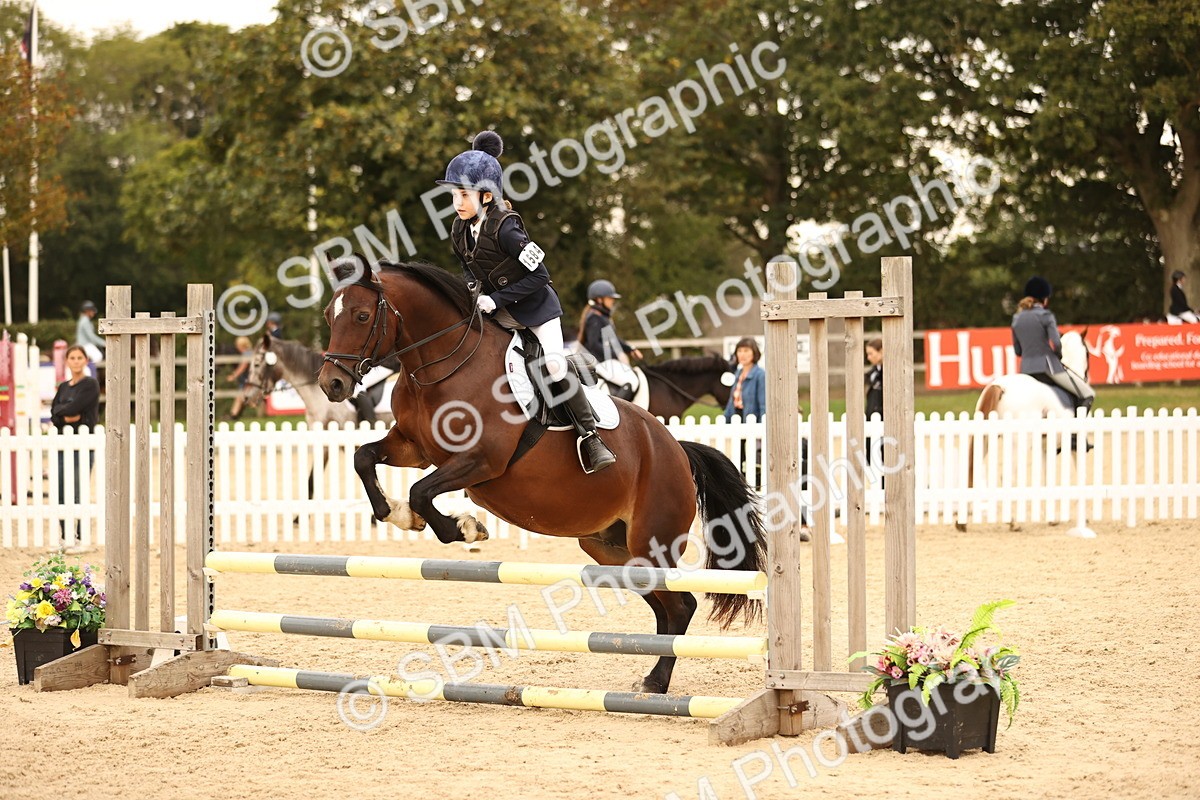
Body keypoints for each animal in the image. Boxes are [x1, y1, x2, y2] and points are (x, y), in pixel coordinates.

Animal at [316, 258, 766, 695]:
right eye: (328, 315)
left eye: (361, 315)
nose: (332, 384)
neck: (443, 366)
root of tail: (678, 450)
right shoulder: (414, 448)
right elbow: (364, 458)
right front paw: (398, 515)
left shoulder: (481, 460)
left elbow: (421, 491)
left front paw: (463, 527)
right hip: (611, 548)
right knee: (666, 606)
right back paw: (653, 677)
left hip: (651, 541)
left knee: (681, 605)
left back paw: (656, 681)